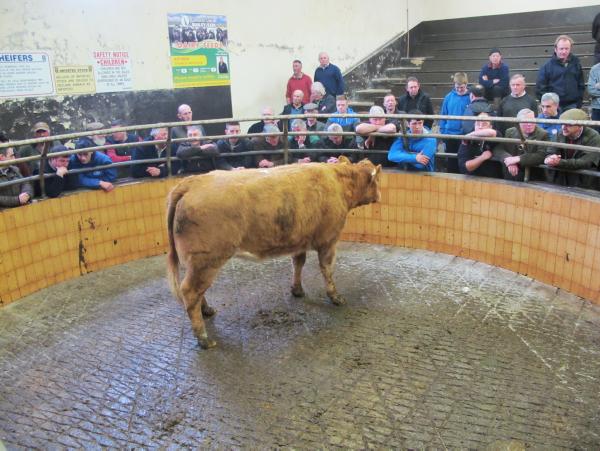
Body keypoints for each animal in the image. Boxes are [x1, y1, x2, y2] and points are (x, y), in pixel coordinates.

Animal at [166, 156, 382, 349]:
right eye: (377, 179)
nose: (379, 196)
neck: (337, 180)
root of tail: (192, 182)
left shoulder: (300, 240)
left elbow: (298, 262)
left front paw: (297, 290)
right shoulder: (328, 240)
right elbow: (327, 269)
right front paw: (335, 297)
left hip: (197, 263)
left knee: (196, 290)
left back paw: (206, 310)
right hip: (206, 259)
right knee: (190, 291)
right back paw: (203, 338)